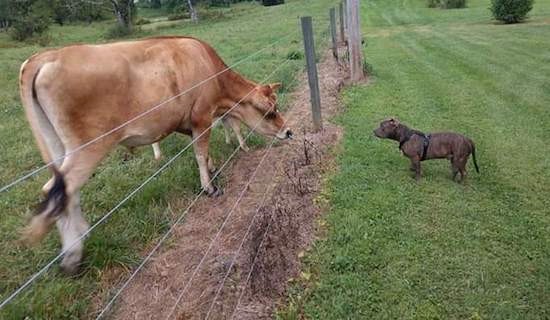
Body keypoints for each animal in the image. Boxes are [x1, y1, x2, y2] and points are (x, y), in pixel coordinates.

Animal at [19, 36, 294, 274]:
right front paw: (209, 187)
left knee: (64, 193)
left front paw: (213, 168)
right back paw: (72, 256)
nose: (289, 131)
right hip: (87, 147)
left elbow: (204, 153)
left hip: (58, 147)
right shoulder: (201, 117)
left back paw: (81, 235)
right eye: (271, 112)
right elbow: (200, 152)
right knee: (55, 190)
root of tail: (47, 56)